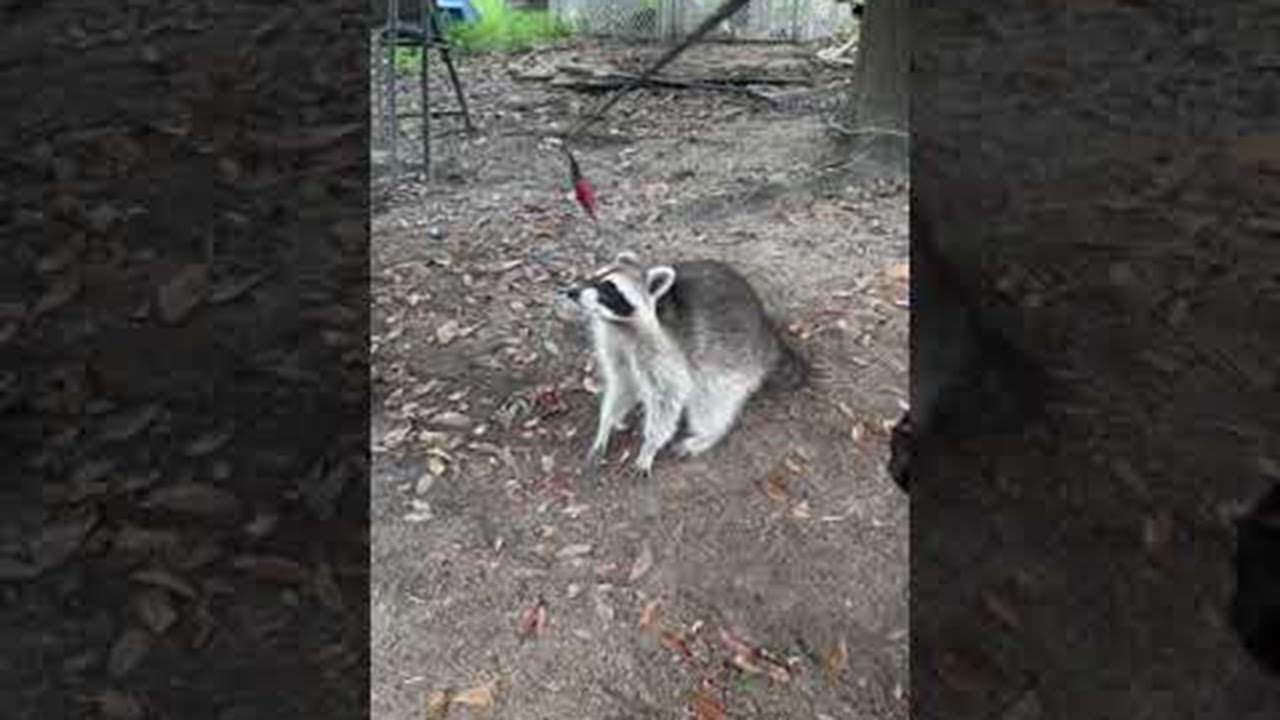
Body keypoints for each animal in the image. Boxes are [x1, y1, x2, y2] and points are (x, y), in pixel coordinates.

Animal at [564, 252, 808, 476]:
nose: (571, 292)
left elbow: (667, 397)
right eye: (593, 277)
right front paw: (605, 426)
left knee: (711, 400)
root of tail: (767, 333)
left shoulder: (665, 352)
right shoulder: (615, 343)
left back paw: (709, 435)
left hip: (732, 361)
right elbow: (623, 383)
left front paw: (650, 446)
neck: (620, 325)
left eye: (609, 289)